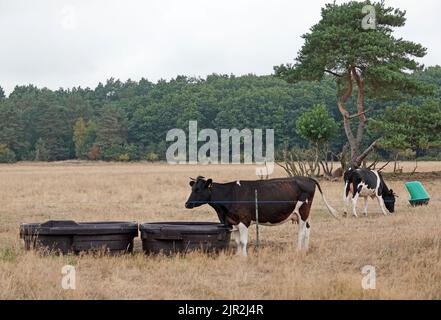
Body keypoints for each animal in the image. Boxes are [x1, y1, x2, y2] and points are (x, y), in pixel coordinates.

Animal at [183, 175, 336, 255]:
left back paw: (298, 250)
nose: (187, 204)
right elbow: (238, 242)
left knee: (302, 232)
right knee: (308, 229)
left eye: (198, 189)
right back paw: (305, 250)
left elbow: (243, 241)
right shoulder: (233, 221)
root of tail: (307, 178)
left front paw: (244, 258)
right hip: (302, 214)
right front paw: (239, 256)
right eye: (192, 188)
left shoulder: (244, 220)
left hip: (303, 211)